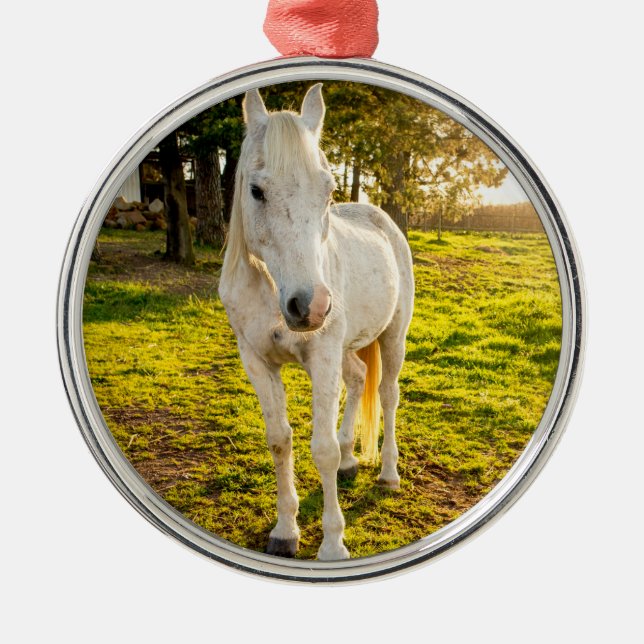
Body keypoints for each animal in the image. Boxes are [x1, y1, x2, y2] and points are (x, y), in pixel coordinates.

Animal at [218, 84, 414, 560]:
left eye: (327, 191)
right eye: (256, 190)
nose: (311, 306)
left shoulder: (322, 356)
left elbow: (321, 450)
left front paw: (332, 546)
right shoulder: (256, 361)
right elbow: (279, 440)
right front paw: (285, 531)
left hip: (392, 338)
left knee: (387, 395)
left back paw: (388, 474)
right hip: (344, 348)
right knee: (358, 378)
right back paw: (351, 459)